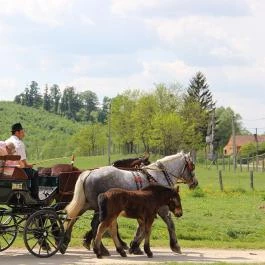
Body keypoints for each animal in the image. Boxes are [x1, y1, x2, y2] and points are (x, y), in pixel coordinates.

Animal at [60, 152, 197, 255]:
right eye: (192, 165)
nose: (195, 183)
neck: (158, 176)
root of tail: (89, 173)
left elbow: (141, 228)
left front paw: (135, 246)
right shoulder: (162, 209)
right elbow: (169, 224)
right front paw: (175, 246)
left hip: (86, 204)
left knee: (72, 219)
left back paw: (65, 242)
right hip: (97, 208)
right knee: (95, 225)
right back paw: (101, 249)